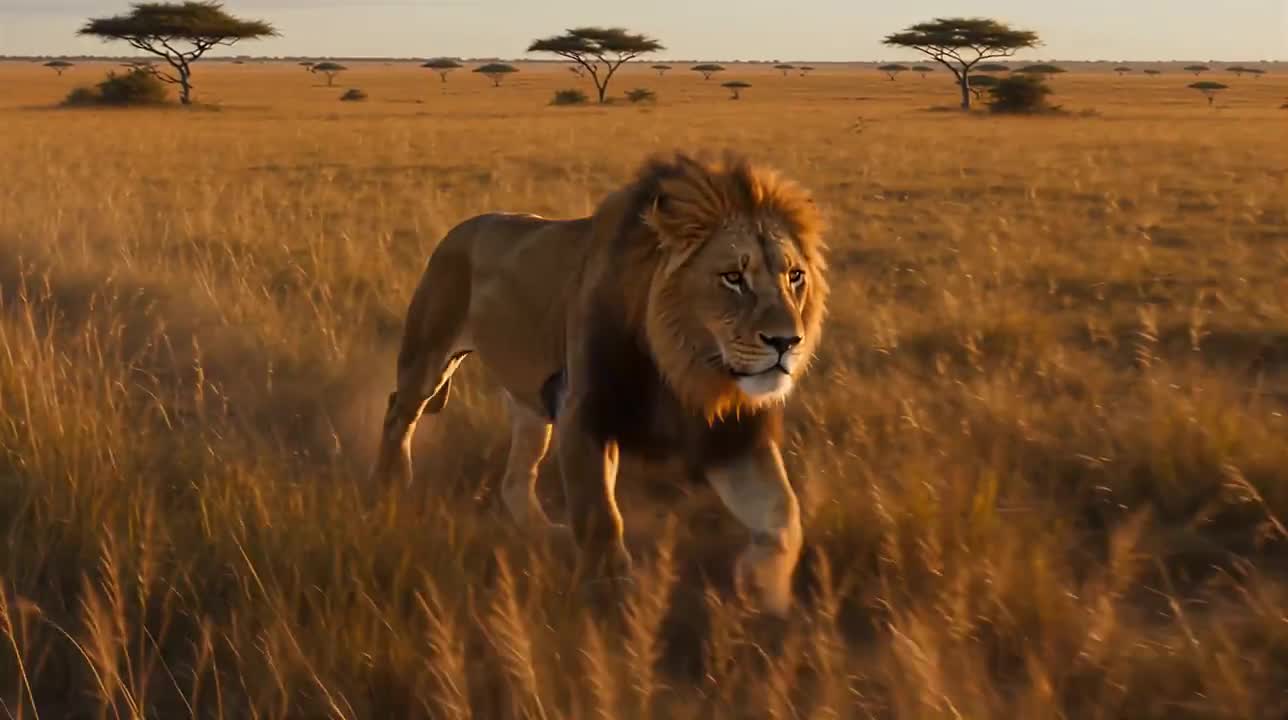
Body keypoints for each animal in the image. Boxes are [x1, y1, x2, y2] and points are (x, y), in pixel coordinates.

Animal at [372, 151, 829, 614]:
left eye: (795, 276)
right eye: (733, 278)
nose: (787, 342)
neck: (684, 366)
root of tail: (461, 227)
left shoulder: (730, 435)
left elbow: (783, 513)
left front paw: (762, 590)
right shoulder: (583, 412)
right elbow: (601, 517)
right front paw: (611, 600)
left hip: (532, 404)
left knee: (515, 477)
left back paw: (542, 530)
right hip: (430, 355)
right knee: (397, 411)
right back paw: (391, 484)